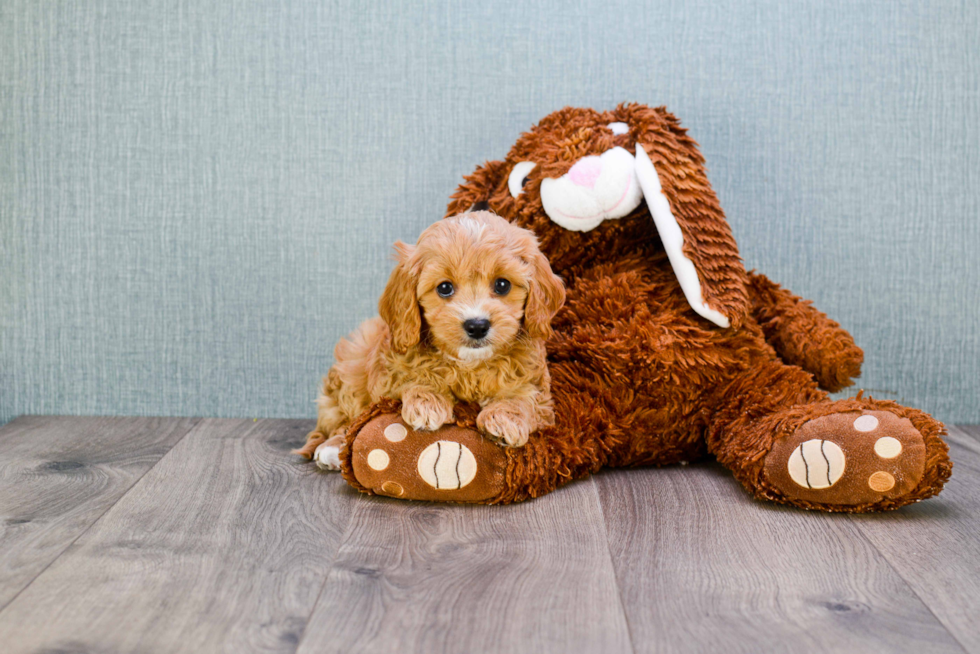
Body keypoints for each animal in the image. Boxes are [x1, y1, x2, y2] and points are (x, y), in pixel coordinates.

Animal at [294, 211, 564, 472]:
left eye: (502, 285)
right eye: (444, 288)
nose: (477, 325)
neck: (469, 365)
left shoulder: (540, 394)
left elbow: (523, 397)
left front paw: (505, 419)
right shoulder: (388, 372)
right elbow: (409, 378)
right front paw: (426, 402)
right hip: (354, 360)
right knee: (346, 420)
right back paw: (332, 448)